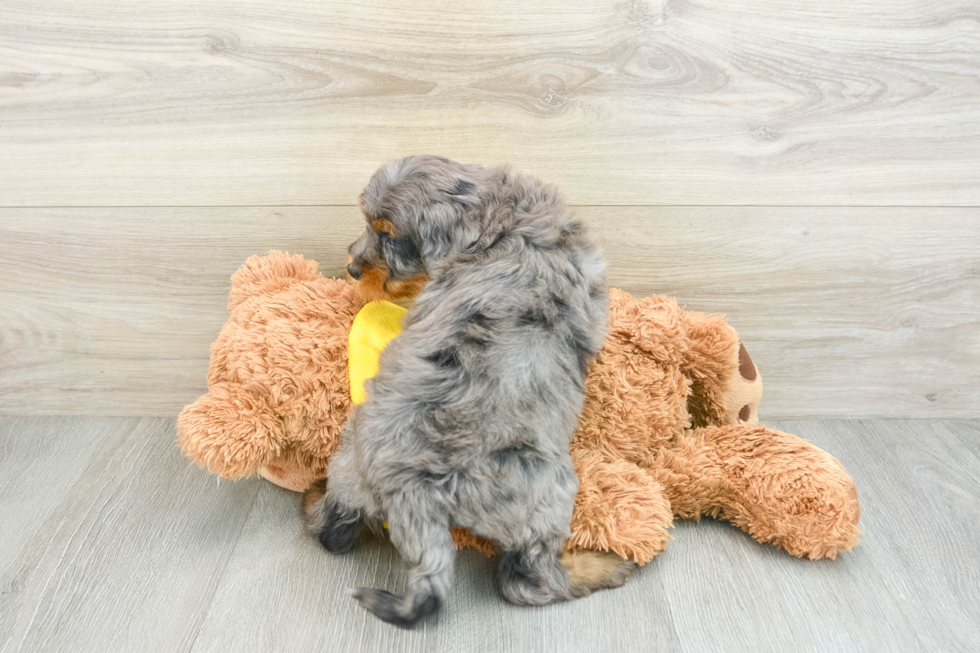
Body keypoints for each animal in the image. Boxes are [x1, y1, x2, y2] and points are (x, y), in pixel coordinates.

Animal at [302, 154, 632, 628]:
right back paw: (600, 566)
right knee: (525, 582)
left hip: (349, 464)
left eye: (388, 235)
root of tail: (413, 485)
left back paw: (313, 496)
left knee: (331, 530)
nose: (351, 269)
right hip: (548, 497)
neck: (501, 219)